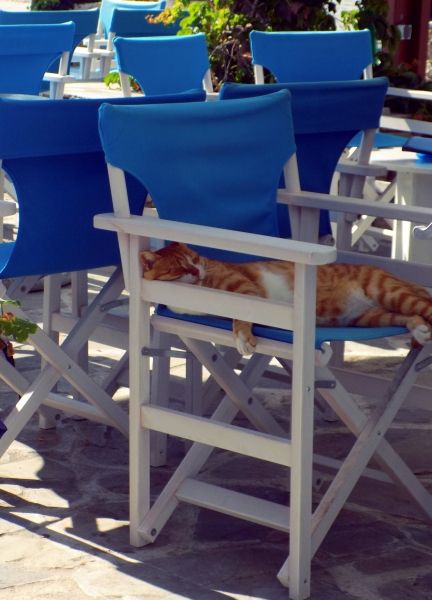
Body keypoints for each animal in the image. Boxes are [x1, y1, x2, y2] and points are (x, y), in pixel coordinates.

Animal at [141, 243, 432, 356]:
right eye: (180, 267)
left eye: (194, 259)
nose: (197, 271)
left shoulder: (248, 292)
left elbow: (240, 317)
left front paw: (243, 338)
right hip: (370, 316)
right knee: (409, 316)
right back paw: (419, 330)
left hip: (388, 291)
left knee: (425, 307)